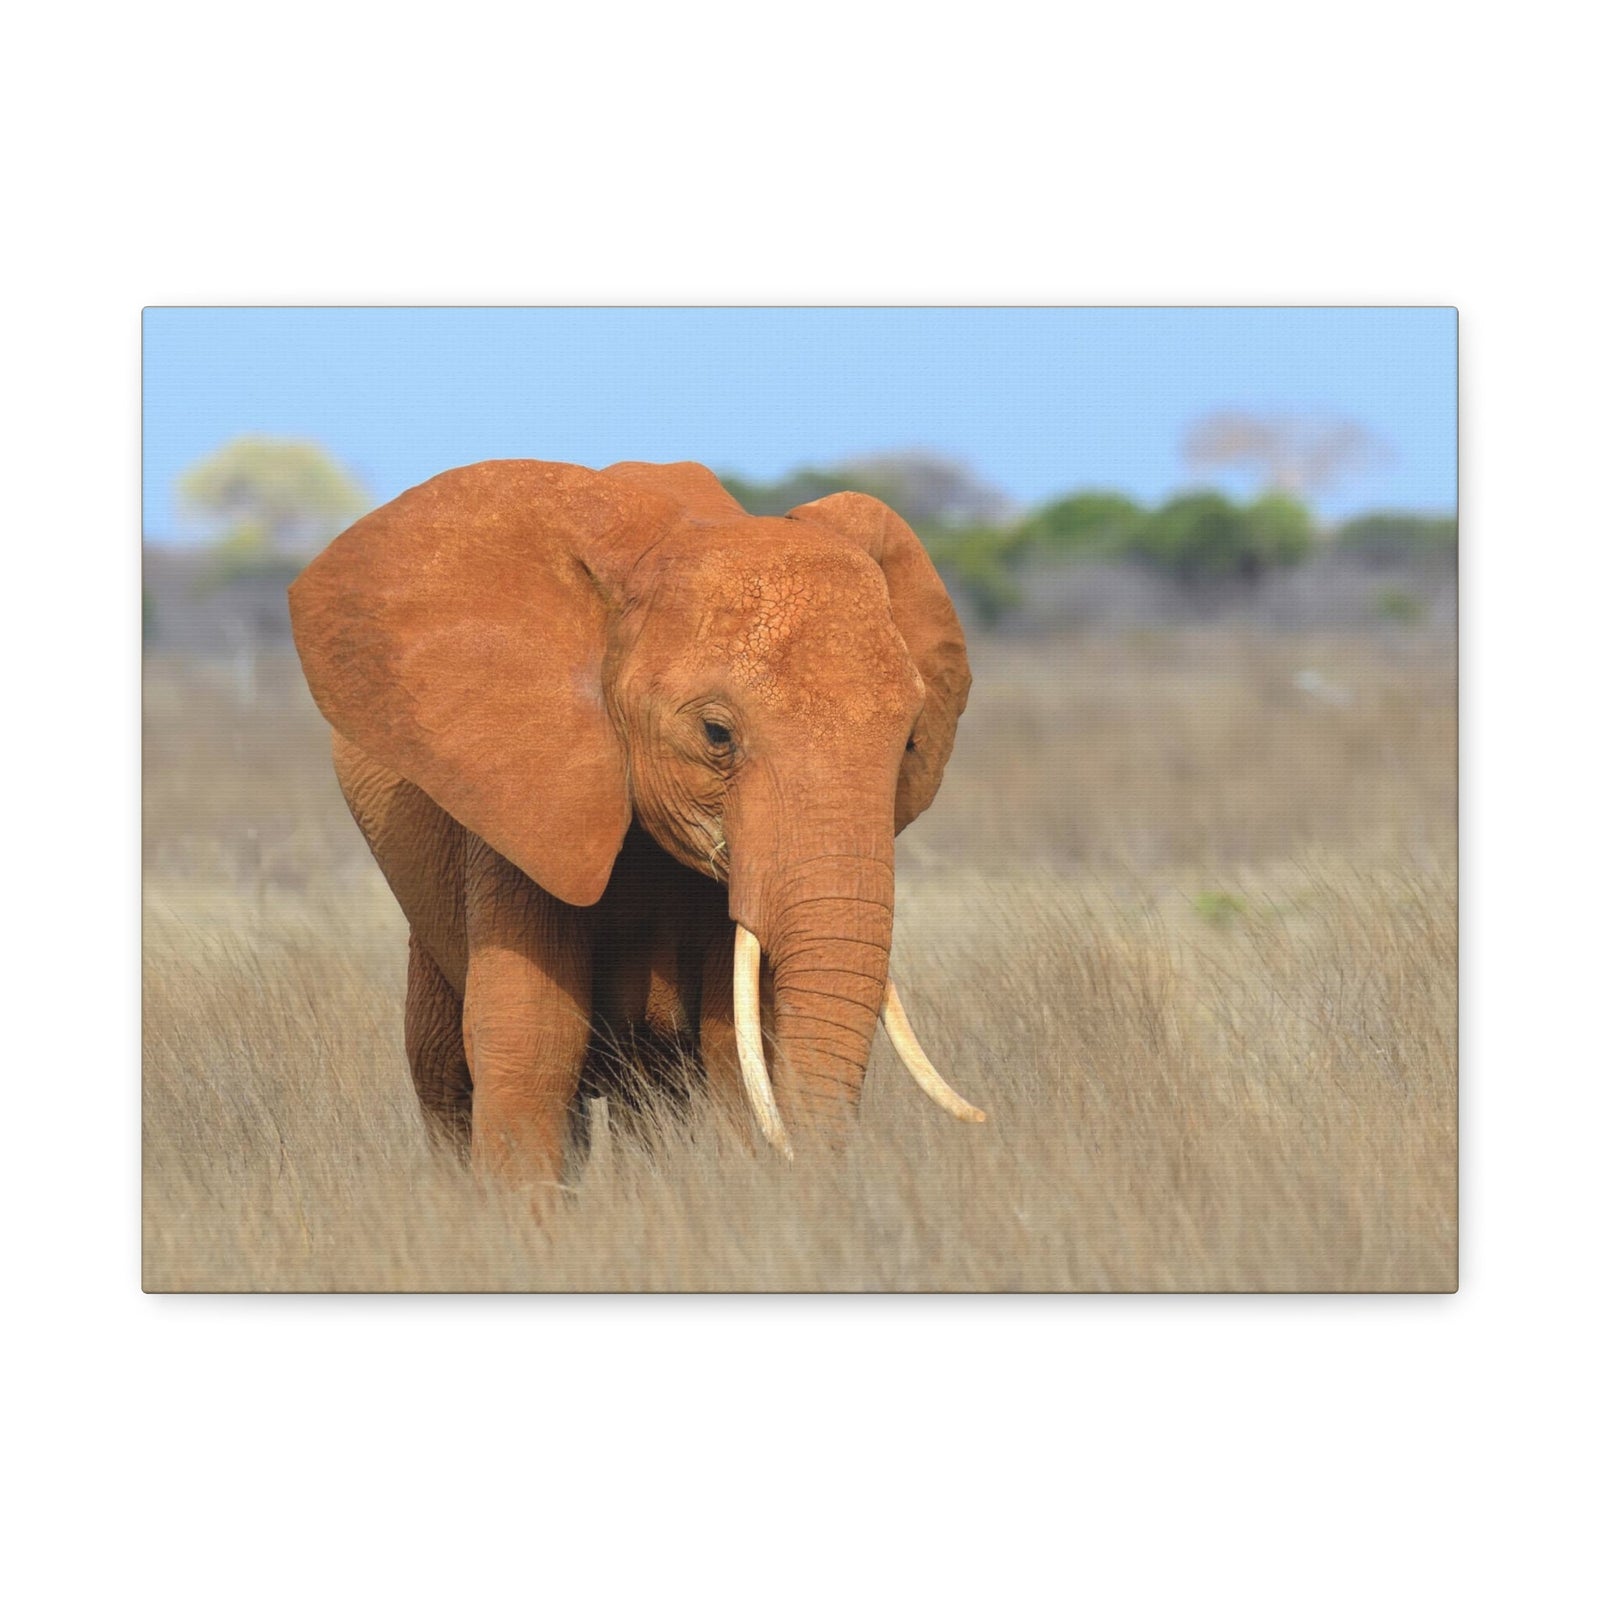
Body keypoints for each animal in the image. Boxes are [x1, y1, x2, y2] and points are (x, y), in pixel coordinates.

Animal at [288, 458, 984, 1180]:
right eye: (715, 734)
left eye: (911, 744)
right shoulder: (513, 799)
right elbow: (532, 1035)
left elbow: (736, 1040)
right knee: (443, 1070)